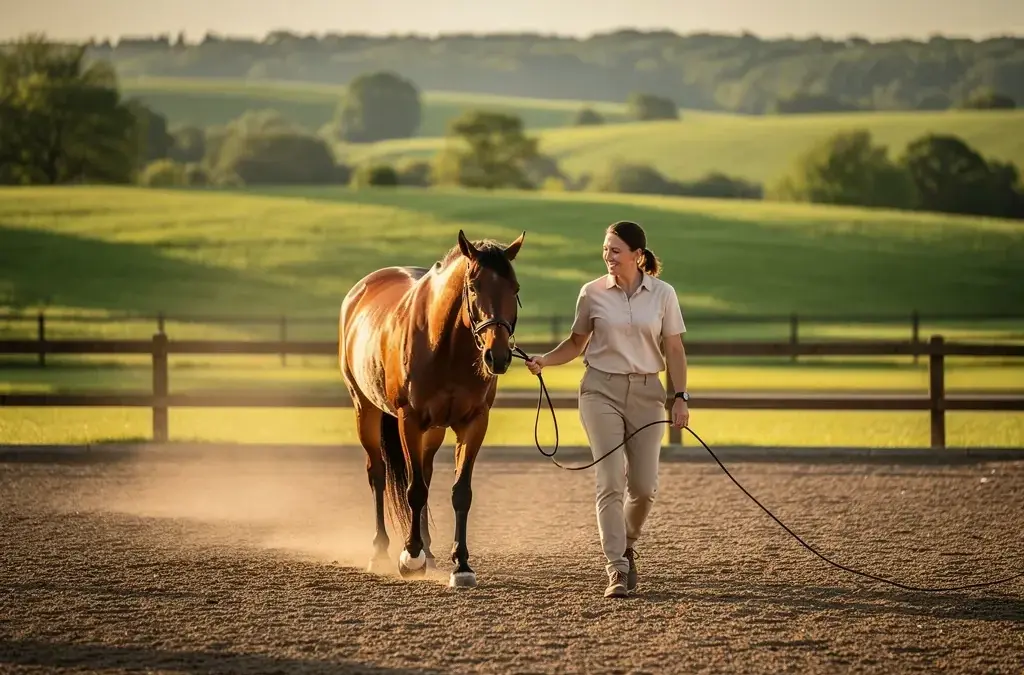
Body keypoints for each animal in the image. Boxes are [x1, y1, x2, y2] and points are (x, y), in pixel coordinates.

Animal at [338, 229, 525, 588]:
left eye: (515, 288)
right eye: (473, 287)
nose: (497, 357)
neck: (446, 346)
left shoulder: (473, 423)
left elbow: (459, 492)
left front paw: (461, 565)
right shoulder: (408, 421)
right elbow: (414, 491)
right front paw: (410, 557)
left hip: (434, 430)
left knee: (423, 473)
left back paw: (428, 550)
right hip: (364, 410)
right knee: (378, 475)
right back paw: (381, 551)